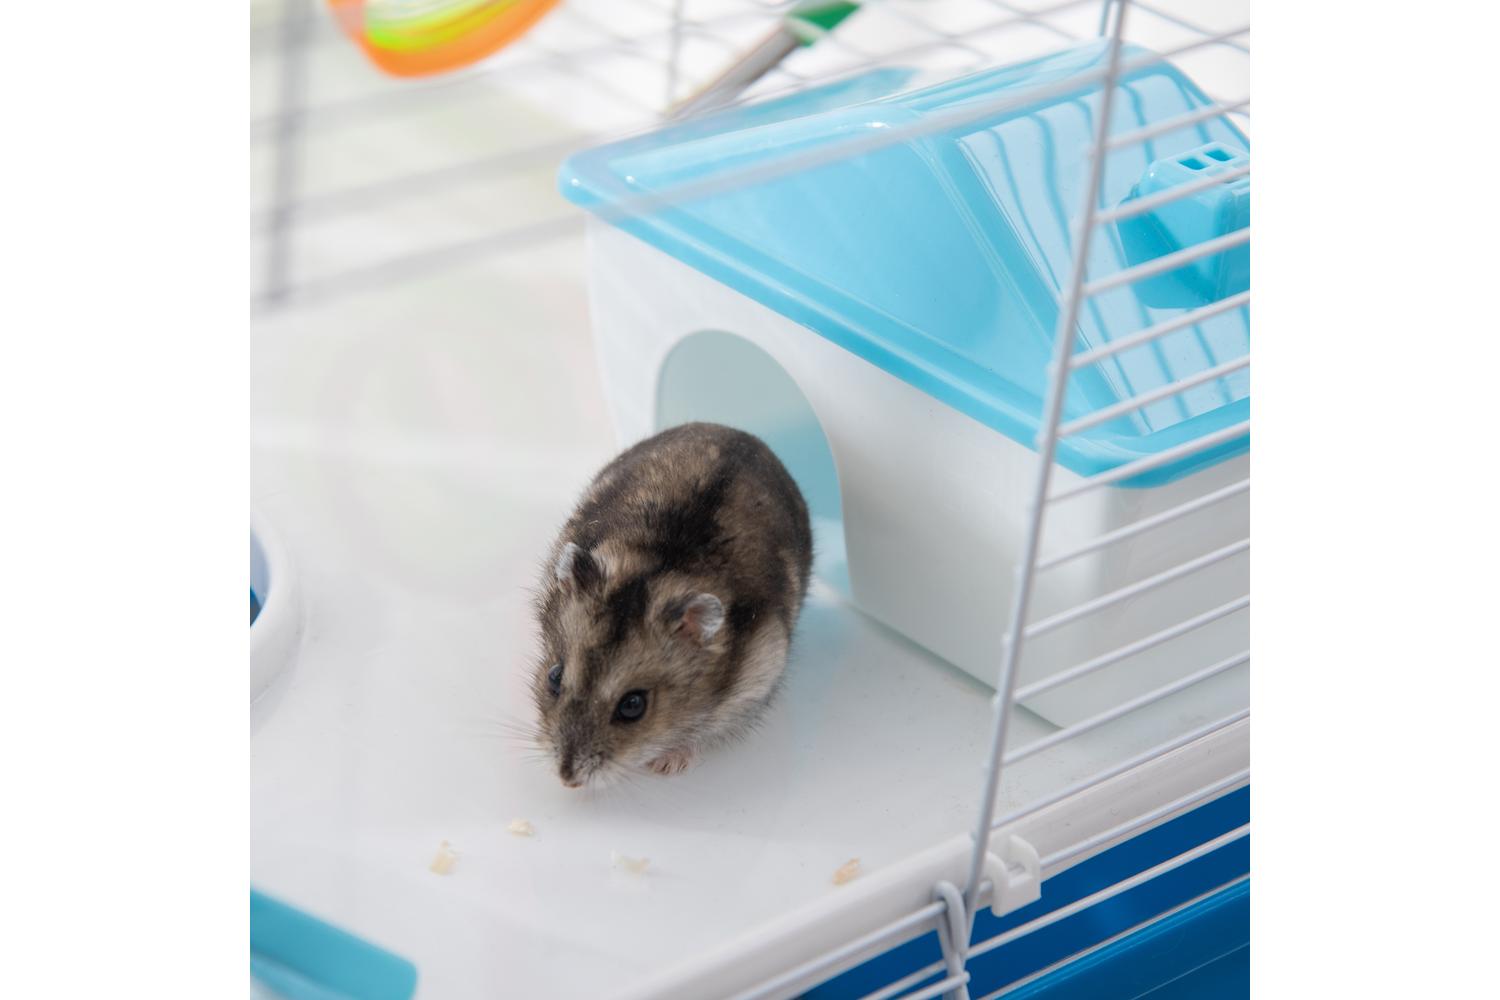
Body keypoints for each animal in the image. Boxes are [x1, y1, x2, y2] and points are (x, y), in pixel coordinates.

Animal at [531, 422, 813, 788]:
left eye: (633, 705)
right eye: (554, 676)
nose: (567, 779)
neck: (660, 567)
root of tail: (743, 433)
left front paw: (667, 766)